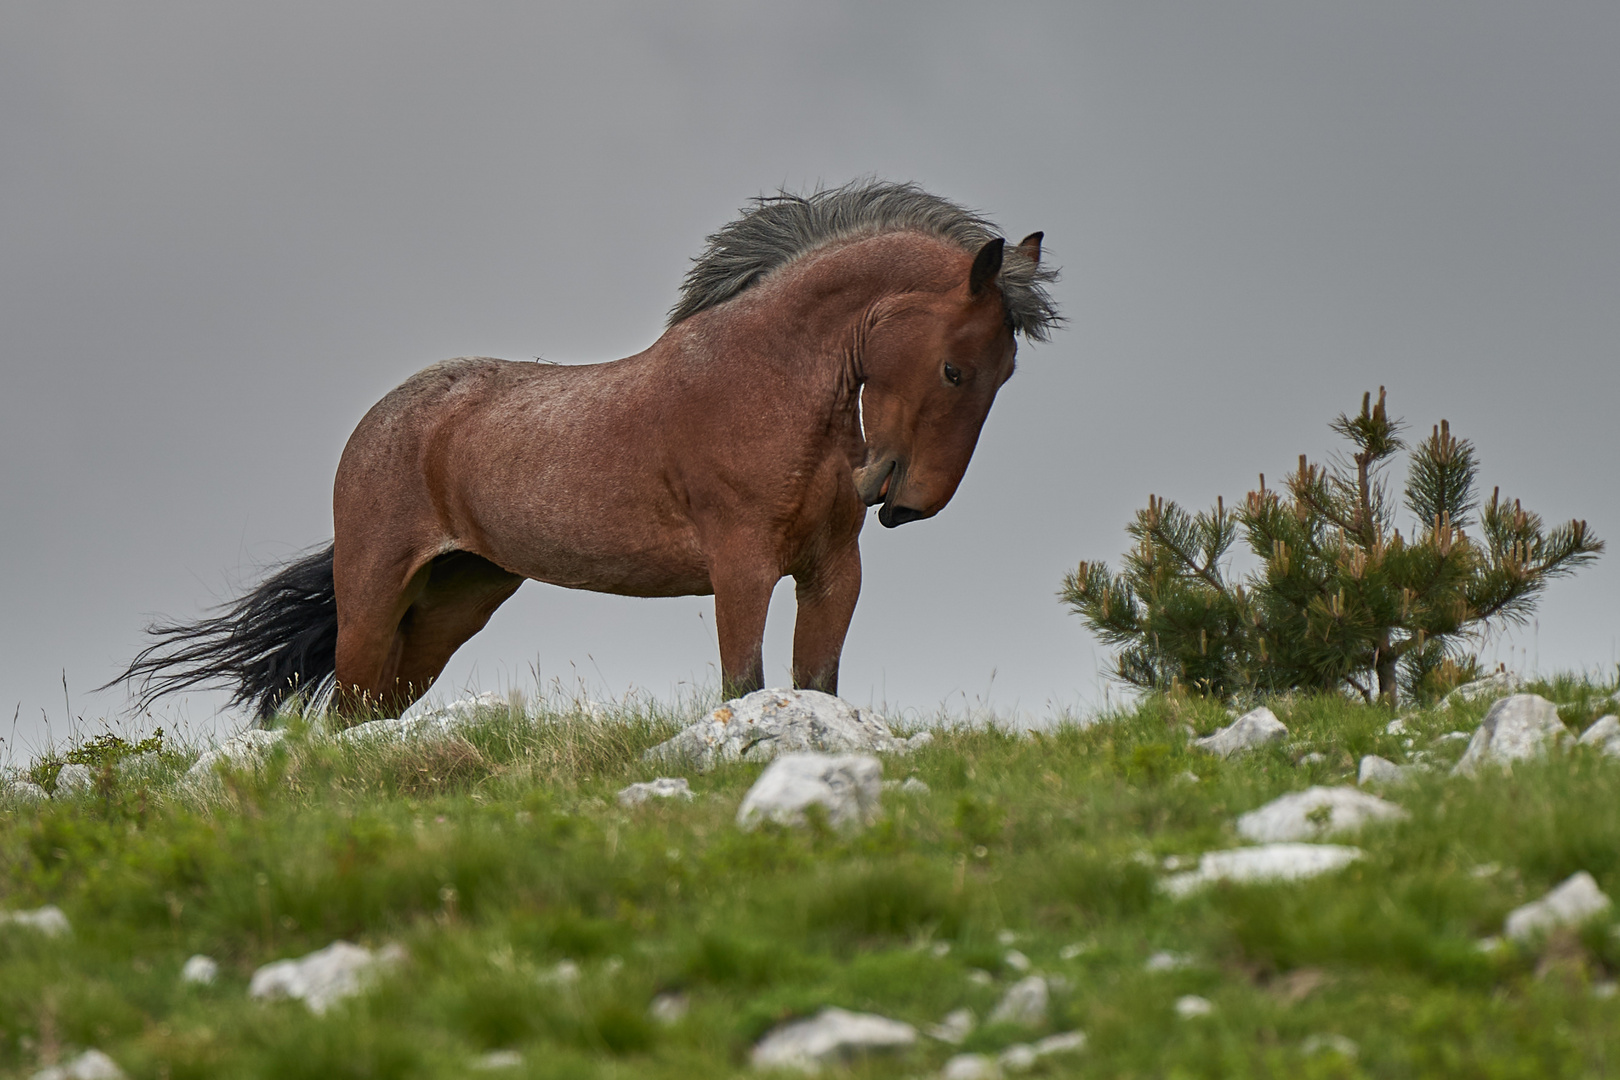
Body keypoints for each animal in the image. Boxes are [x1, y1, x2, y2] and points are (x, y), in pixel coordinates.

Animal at [119, 181, 1069, 722]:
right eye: (954, 367)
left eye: (1006, 373)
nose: (909, 502)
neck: (769, 383)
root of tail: (379, 424)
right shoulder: (741, 567)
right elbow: (744, 684)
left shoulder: (833, 568)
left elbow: (816, 684)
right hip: (373, 594)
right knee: (345, 713)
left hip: (455, 600)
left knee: (375, 711)